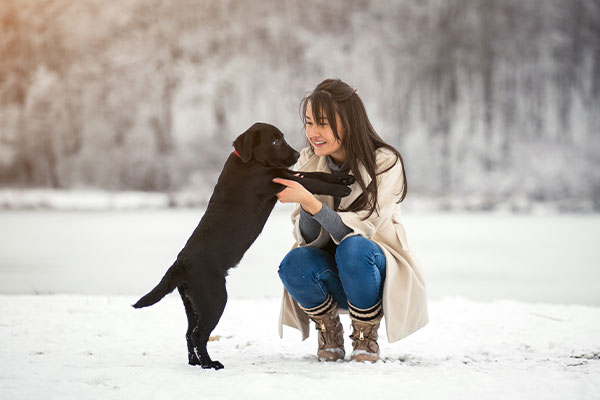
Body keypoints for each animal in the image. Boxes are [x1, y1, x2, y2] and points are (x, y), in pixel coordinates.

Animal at [132, 122, 352, 368]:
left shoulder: (284, 174)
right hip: (214, 299)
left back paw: (195, 363)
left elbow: (315, 173)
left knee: (189, 333)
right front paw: (342, 189)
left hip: (192, 304)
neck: (251, 162)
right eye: (275, 141)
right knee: (199, 335)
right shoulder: (277, 181)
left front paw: (344, 179)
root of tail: (180, 264)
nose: (296, 155)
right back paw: (210, 364)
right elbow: (311, 181)